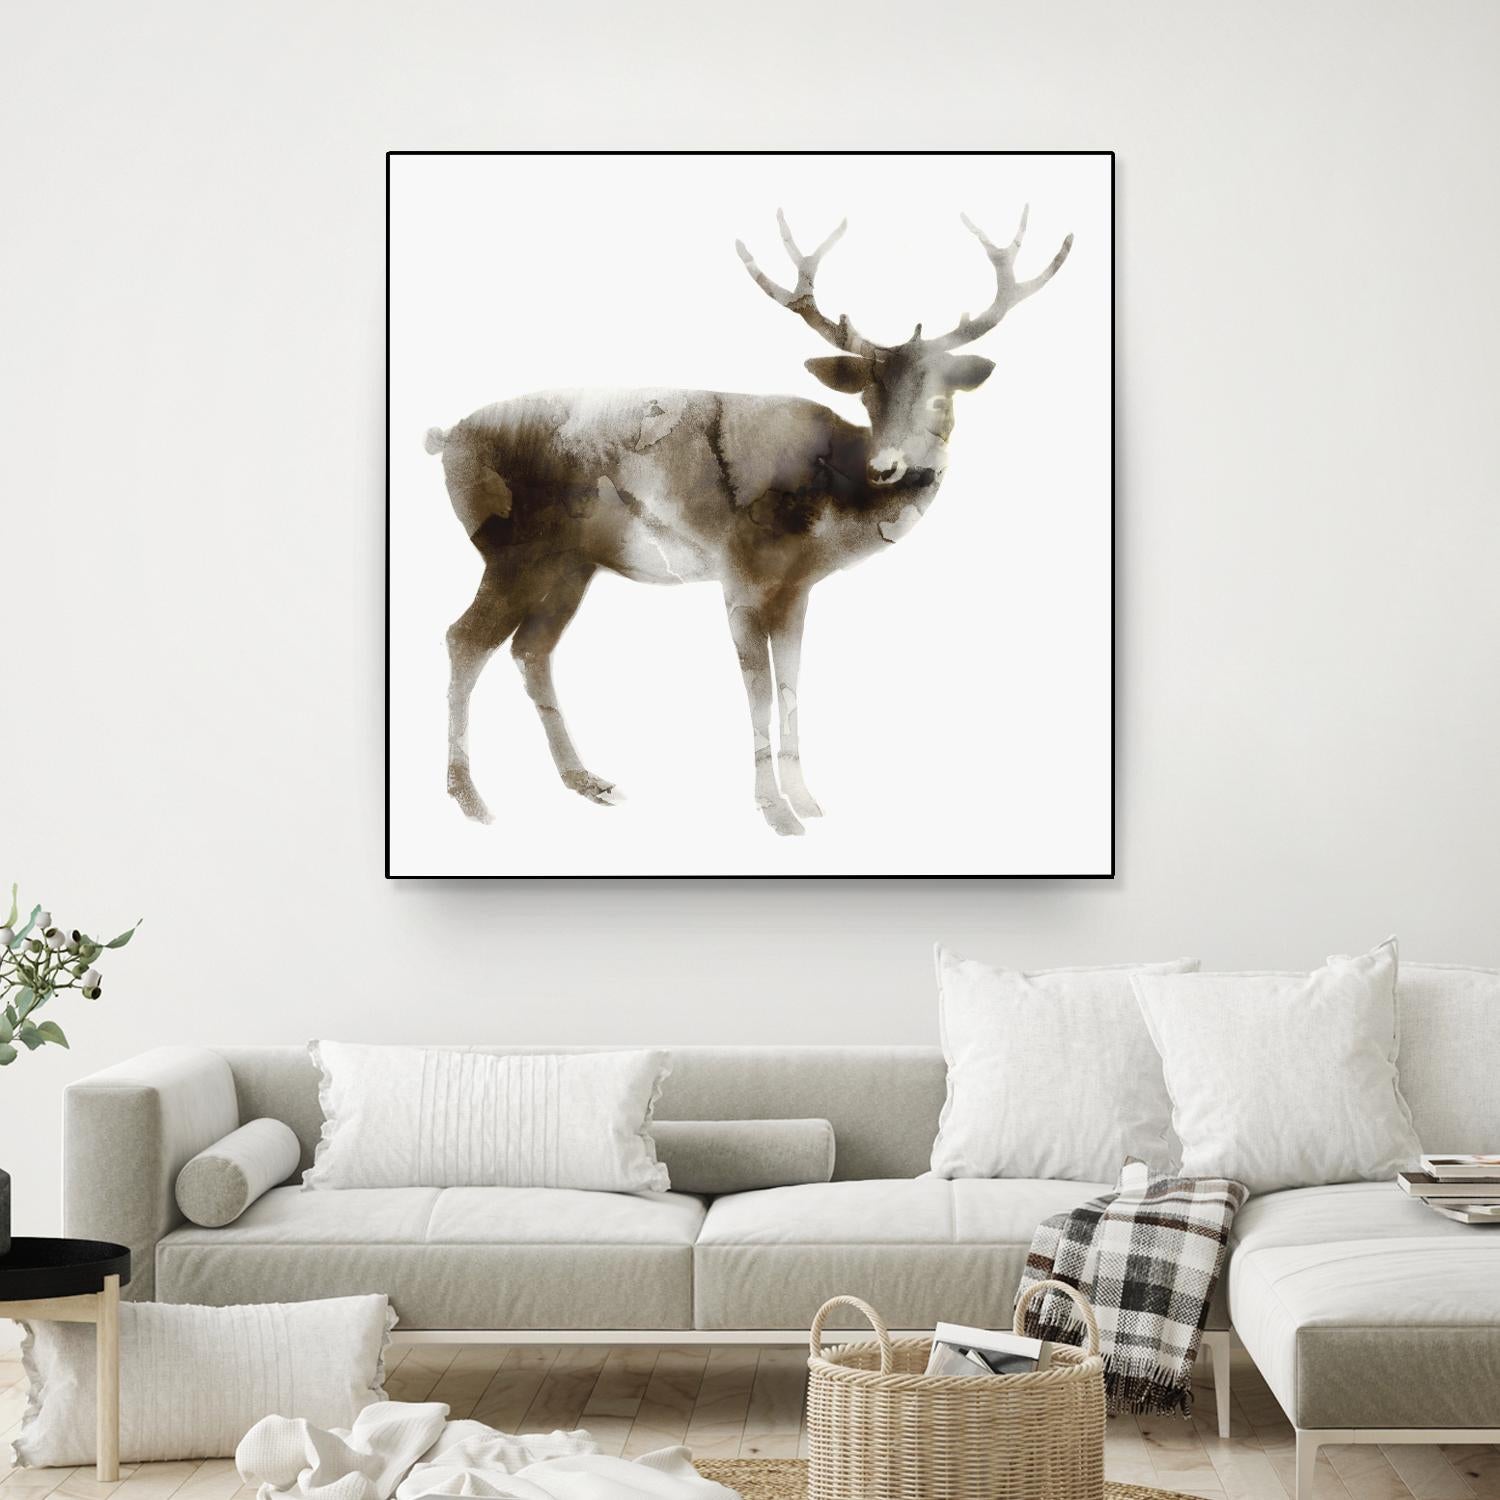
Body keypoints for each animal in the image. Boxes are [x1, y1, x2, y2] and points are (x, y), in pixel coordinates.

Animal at [425, 207, 1072, 836]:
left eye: (941, 398)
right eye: (867, 396)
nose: (888, 467)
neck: (829, 511)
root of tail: (446, 438)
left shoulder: (796, 590)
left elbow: (790, 685)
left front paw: (807, 800)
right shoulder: (739, 576)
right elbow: (758, 691)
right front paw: (775, 812)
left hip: (570, 565)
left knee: (531, 650)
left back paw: (586, 780)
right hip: (511, 551)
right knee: (464, 639)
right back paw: (470, 799)